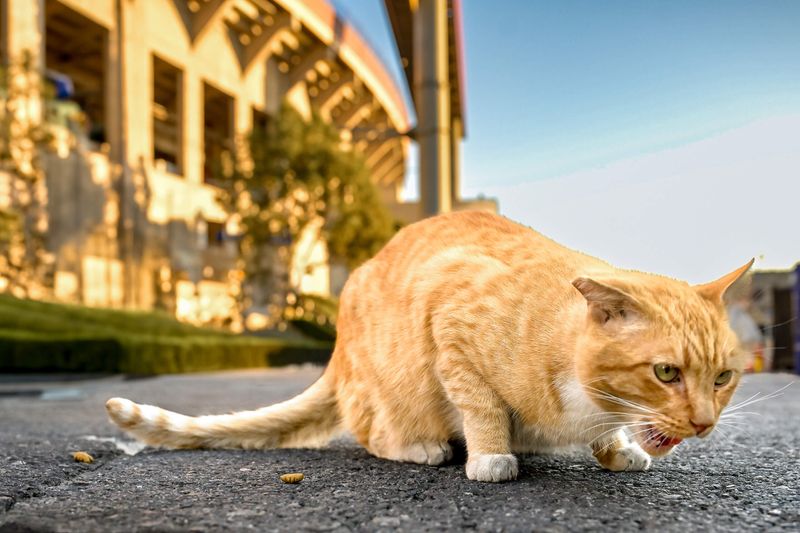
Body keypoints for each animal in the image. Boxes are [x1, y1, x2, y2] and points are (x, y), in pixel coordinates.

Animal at [106, 211, 752, 482]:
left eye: (722, 378)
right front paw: (491, 457)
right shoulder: (452, 319)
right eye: (666, 373)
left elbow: (613, 434)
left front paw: (617, 449)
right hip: (396, 386)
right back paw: (424, 447)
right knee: (372, 430)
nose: (703, 424)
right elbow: (482, 406)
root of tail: (337, 348)